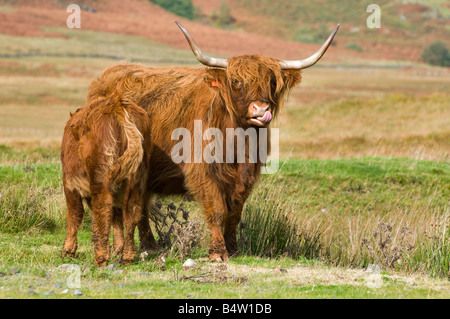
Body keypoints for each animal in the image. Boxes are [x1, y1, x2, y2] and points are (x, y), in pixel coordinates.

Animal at [59, 94, 158, 266]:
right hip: (136, 180)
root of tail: (116, 103)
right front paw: (117, 248)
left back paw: (101, 257)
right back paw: (127, 256)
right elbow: (116, 218)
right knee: (131, 212)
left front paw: (68, 250)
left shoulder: (70, 184)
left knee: (103, 209)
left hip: (100, 177)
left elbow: (74, 214)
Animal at [85, 21, 338, 262]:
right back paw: (127, 247)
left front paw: (233, 249)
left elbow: (235, 213)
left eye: (272, 82)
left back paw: (151, 245)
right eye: (236, 81)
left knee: (140, 204)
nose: (260, 109)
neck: (238, 141)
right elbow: (217, 209)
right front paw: (218, 252)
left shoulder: (246, 175)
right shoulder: (203, 172)